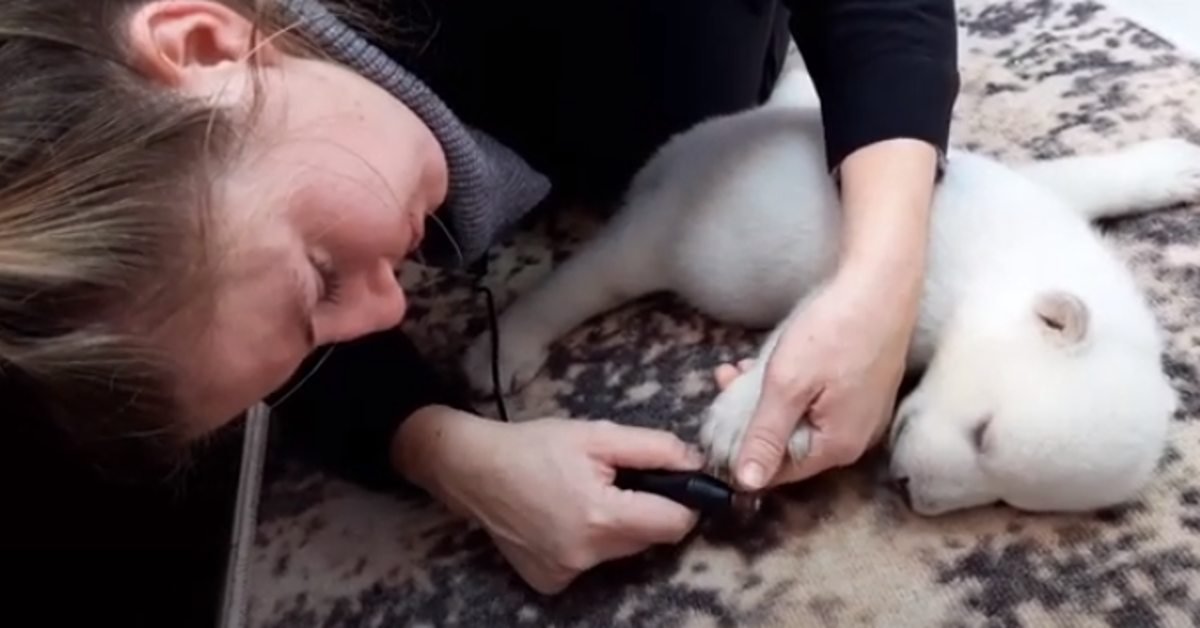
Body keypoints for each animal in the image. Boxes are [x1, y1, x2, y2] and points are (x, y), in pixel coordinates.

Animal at [458, 69, 1190, 516]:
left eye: (1010, 499)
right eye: (984, 435)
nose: (907, 487)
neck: (1015, 255)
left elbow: (1084, 178)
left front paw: (1176, 165)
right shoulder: (909, 266)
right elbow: (817, 318)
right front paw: (743, 417)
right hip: (670, 230)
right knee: (596, 273)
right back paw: (509, 343)